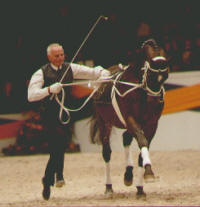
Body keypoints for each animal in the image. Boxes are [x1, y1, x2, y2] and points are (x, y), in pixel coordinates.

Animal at [90, 38, 170, 197]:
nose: (156, 101)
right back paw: (109, 187)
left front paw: (141, 186)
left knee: (126, 138)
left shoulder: (151, 123)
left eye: (165, 76)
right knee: (107, 152)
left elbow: (142, 149)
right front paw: (149, 173)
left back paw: (129, 175)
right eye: (150, 75)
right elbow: (141, 141)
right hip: (105, 123)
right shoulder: (130, 118)